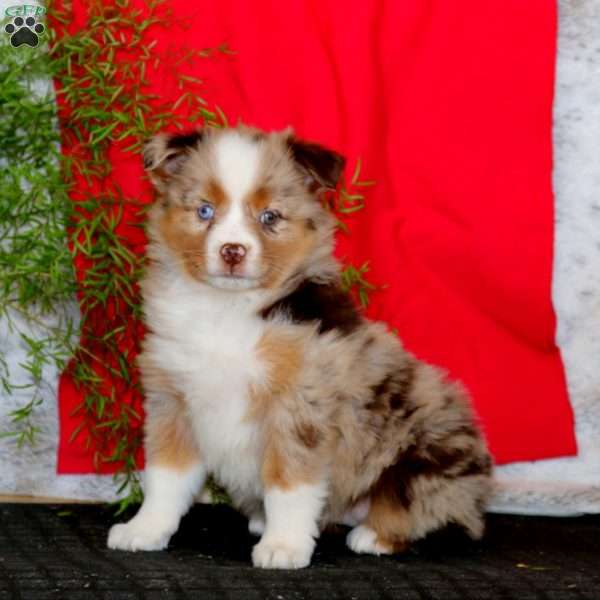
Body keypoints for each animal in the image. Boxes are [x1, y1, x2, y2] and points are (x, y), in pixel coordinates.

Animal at [108, 125, 492, 568]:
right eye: (204, 211)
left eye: (270, 217)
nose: (232, 251)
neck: (227, 306)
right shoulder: (173, 399)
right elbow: (165, 477)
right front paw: (144, 529)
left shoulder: (299, 405)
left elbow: (288, 483)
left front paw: (284, 546)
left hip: (430, 448)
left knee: (433, 510)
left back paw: (375, 534)